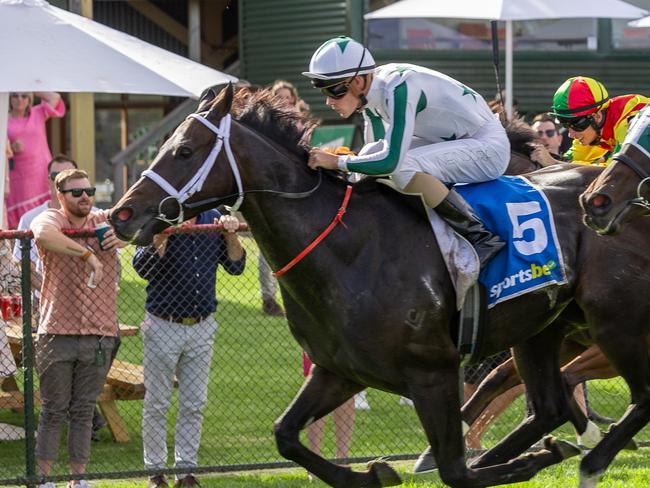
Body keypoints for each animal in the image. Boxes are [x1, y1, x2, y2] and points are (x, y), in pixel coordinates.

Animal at [109, 86, 644, 486]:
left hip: (617, 324)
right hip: (542, 330)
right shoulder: (338, 369)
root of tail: (621, 199)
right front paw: (374, 475)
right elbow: (285, 434)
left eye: (183, 151)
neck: (348, 248)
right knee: (551, 406)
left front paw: (532, 459)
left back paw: (589, 461)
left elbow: (456, 471)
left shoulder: (432, 371)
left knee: (638, 395)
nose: (121, 214)